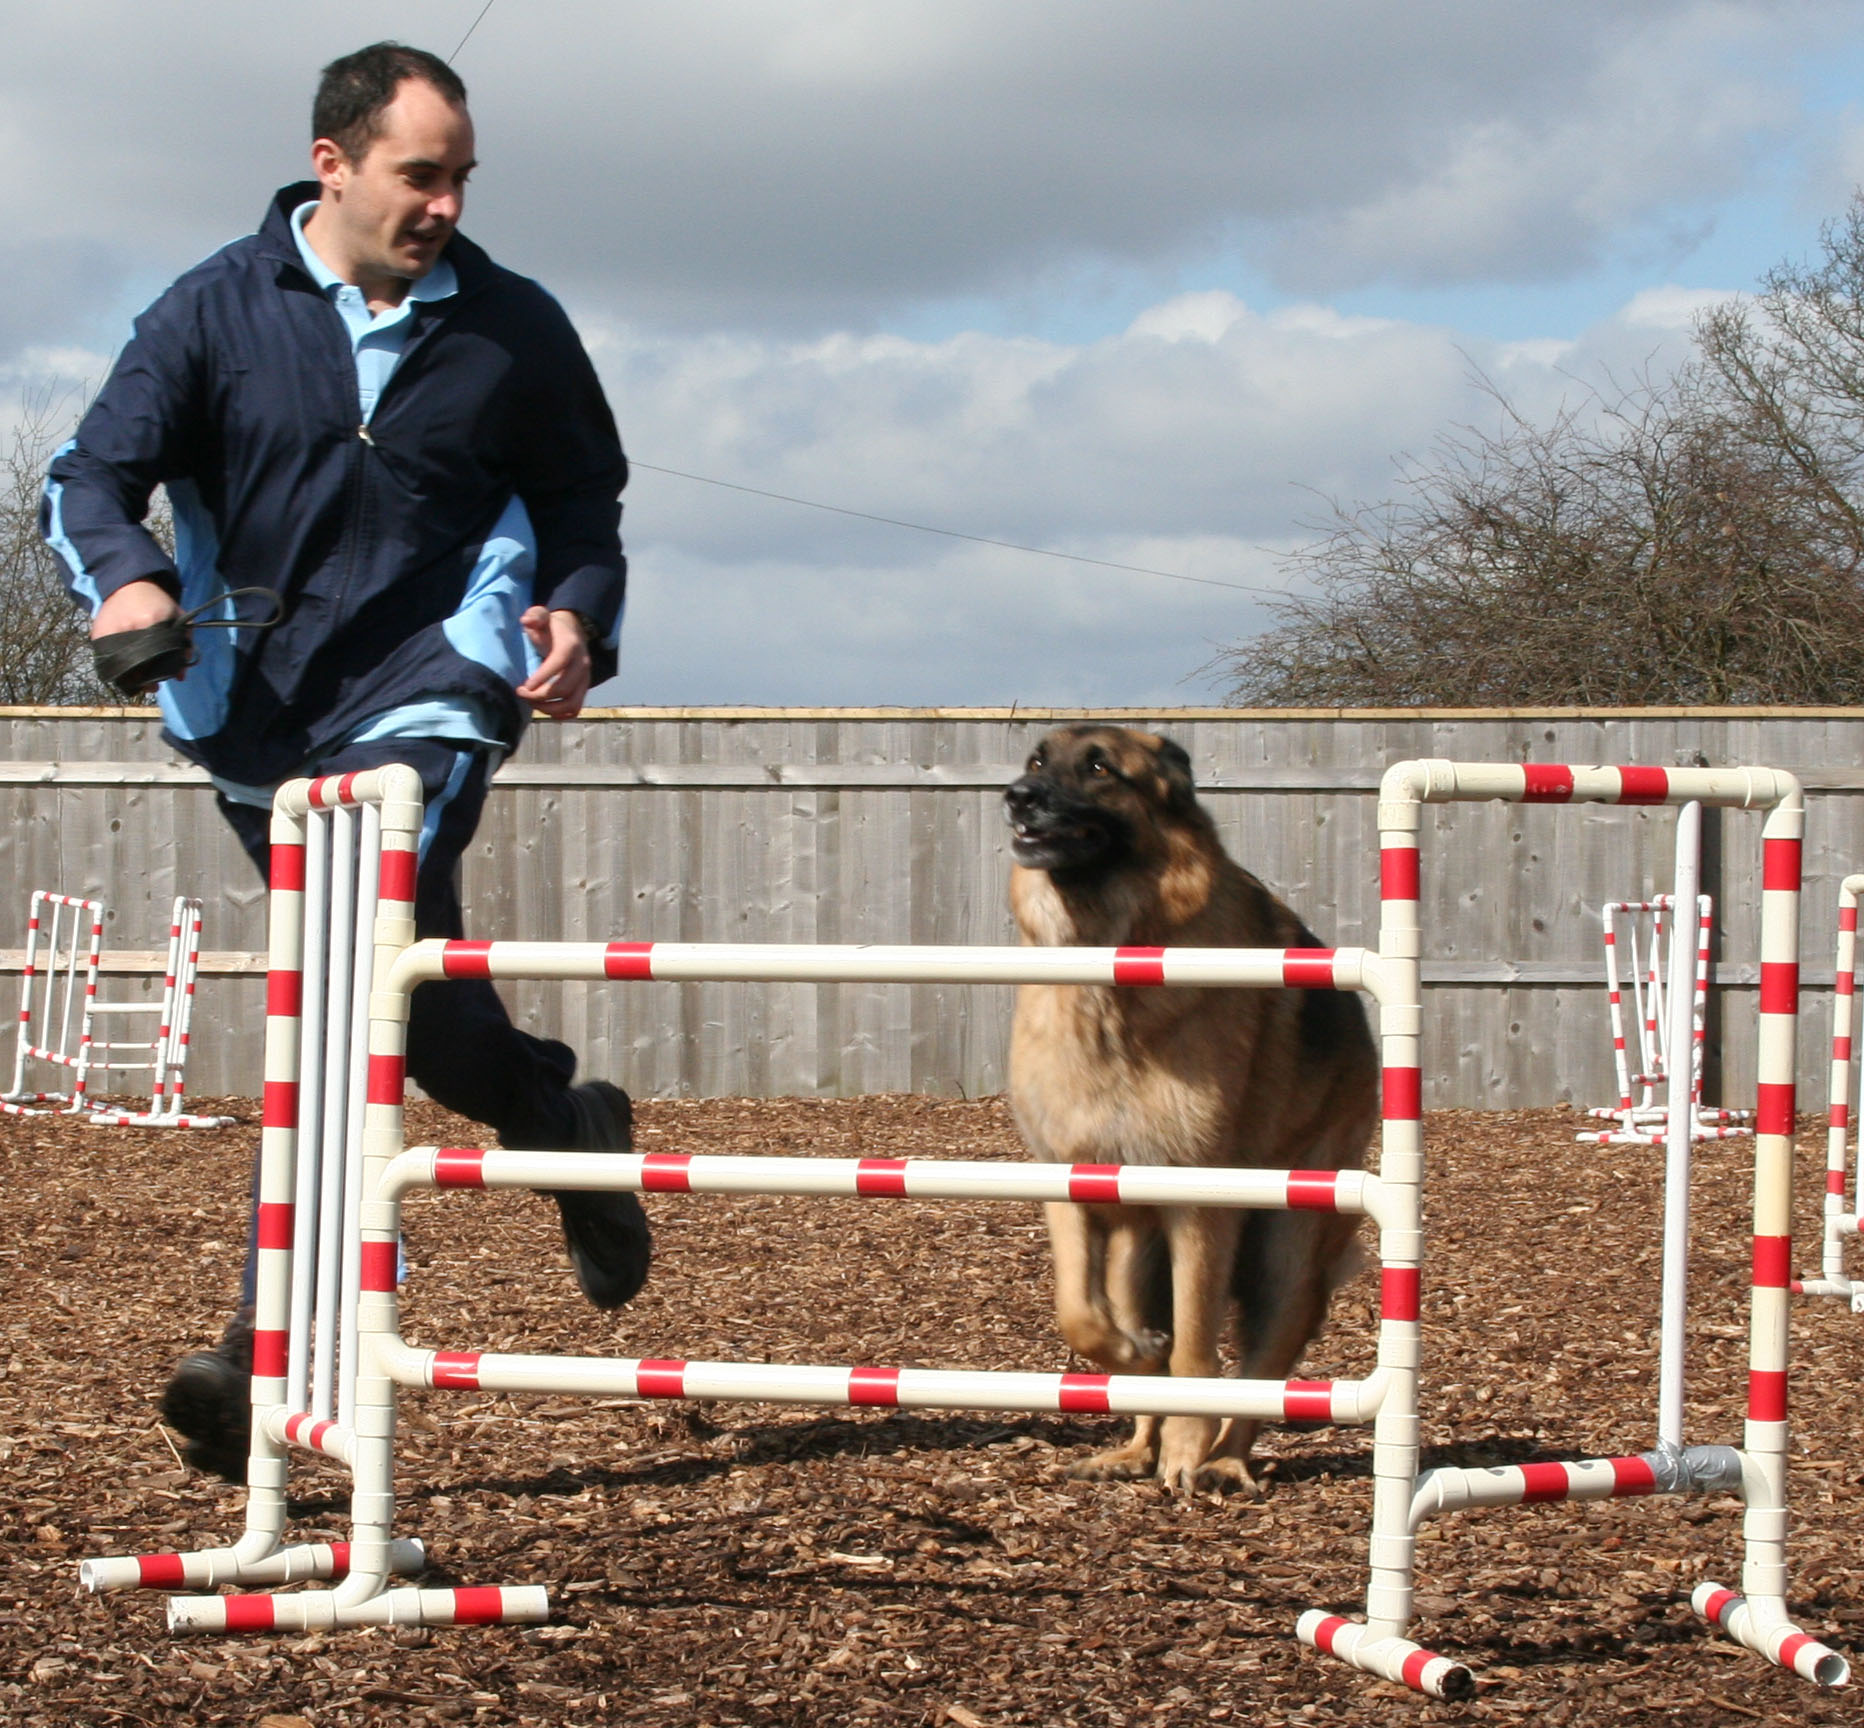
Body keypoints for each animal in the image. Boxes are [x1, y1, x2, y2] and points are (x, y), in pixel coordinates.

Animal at [1006, 723, 1386, 1491]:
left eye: (1098, 768)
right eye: (1036, 760)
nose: (1017, 797)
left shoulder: (1201, 1206)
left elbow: (1197, 1350)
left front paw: (1186, 1448)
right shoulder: (1071, 1184)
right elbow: (1080, 1317)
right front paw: (1137, 1356)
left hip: (1287, 1252)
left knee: (1264, 1369)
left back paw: (1223, 1460)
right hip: (1136, 1251)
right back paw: (1136, 1445)